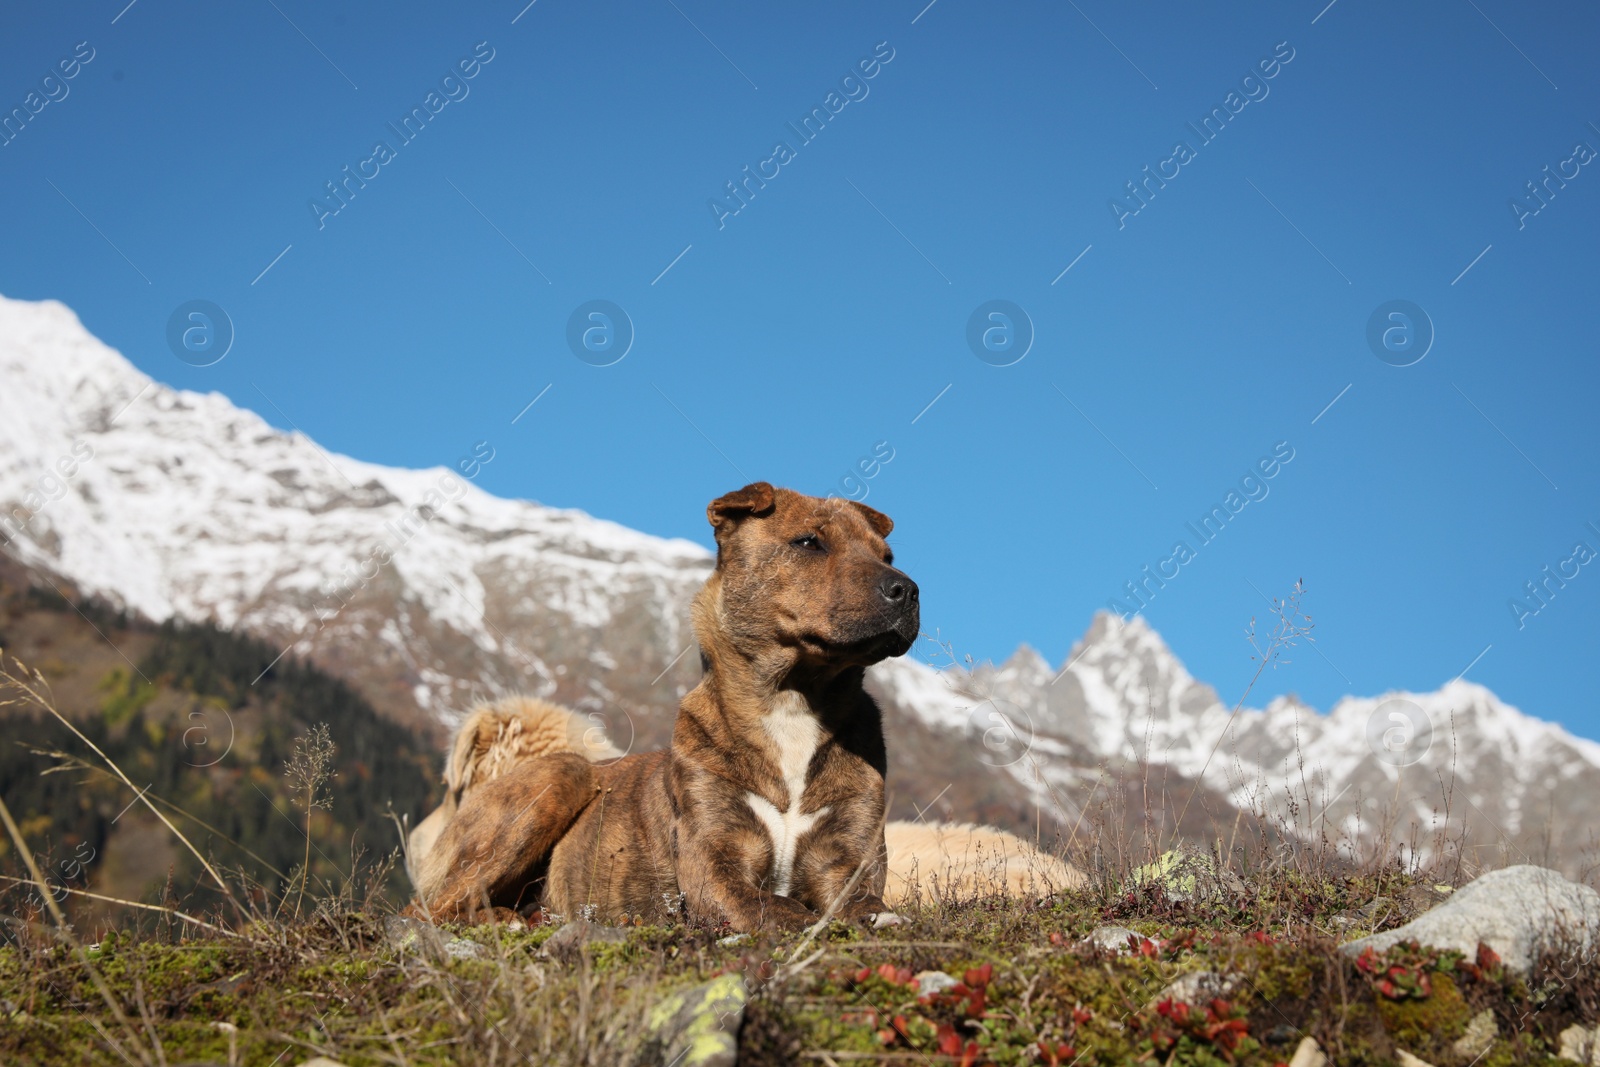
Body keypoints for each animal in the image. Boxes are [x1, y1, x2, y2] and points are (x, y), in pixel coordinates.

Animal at [406, 479, 921, 927]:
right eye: (809, 542)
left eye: (887, 555)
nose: (908, 590)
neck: (794, 701)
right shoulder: (713, 863)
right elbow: (778, 907)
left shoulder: (848, 860)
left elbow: (864, 900)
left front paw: (879, 918)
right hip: (560, 775)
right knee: (428, 909)